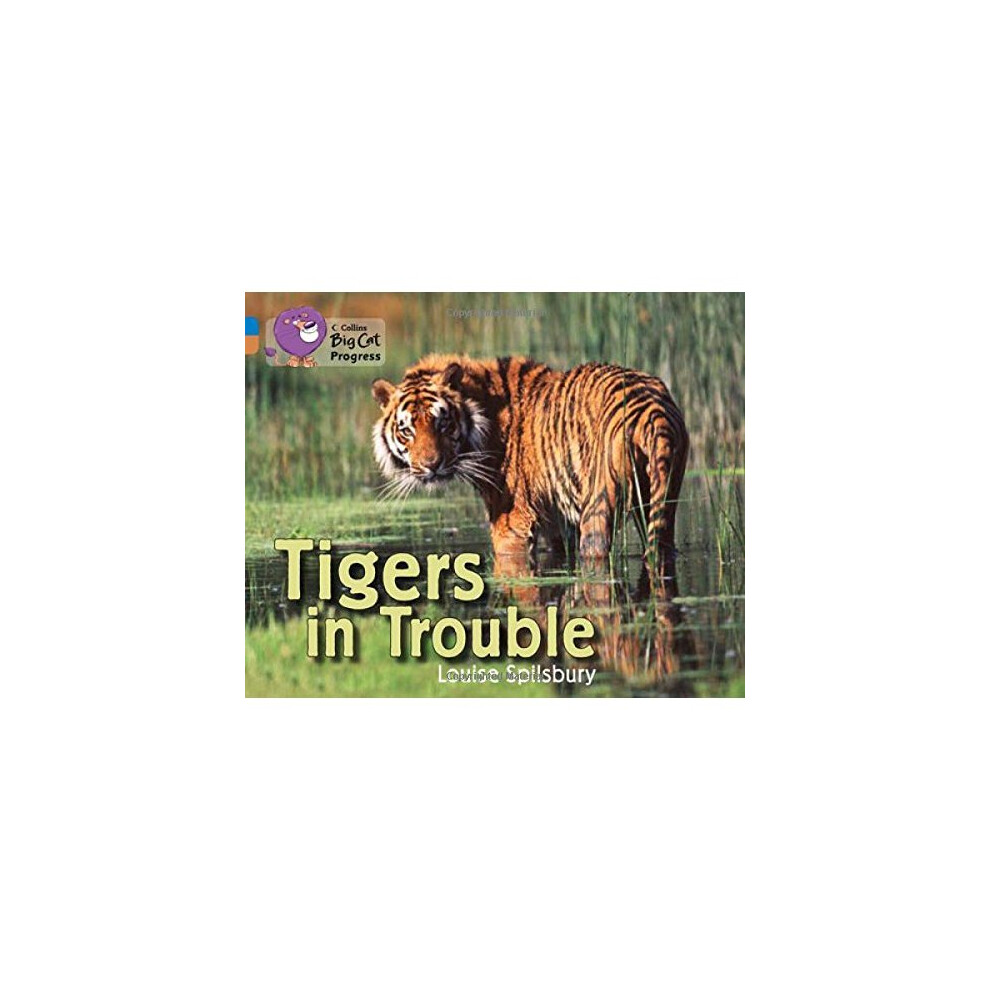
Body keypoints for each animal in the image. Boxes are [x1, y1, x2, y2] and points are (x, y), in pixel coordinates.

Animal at [371, 354, 689, 566]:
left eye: (442, 423)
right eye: (407, 430)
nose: (432, 465)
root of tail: (651, 408)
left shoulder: (511, 521)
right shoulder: (555, 522)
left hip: (599, 504)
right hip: (661, 497)